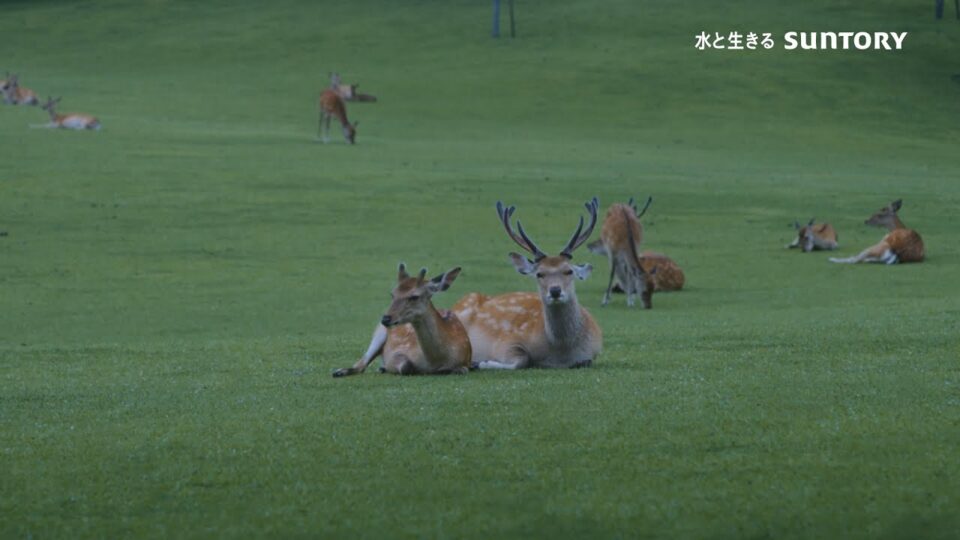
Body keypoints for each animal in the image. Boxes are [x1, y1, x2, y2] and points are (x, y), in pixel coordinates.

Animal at [334, 264, 472, 378]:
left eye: (414, 296)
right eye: (392, 294)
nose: (385, 318)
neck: (436, 360)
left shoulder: (466, 360)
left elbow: (462, 370)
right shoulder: (397, 352)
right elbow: (406, 366)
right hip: (379, 332)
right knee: (361, 364)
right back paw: (339, 371)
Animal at [454, 198, 604, 372]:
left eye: (569, 271)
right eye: (539, 274)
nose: (555, 291)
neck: (561, 352)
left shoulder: (593, 352)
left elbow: (585, 361)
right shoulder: (504, 341)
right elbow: (522, 360)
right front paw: (480, 362)